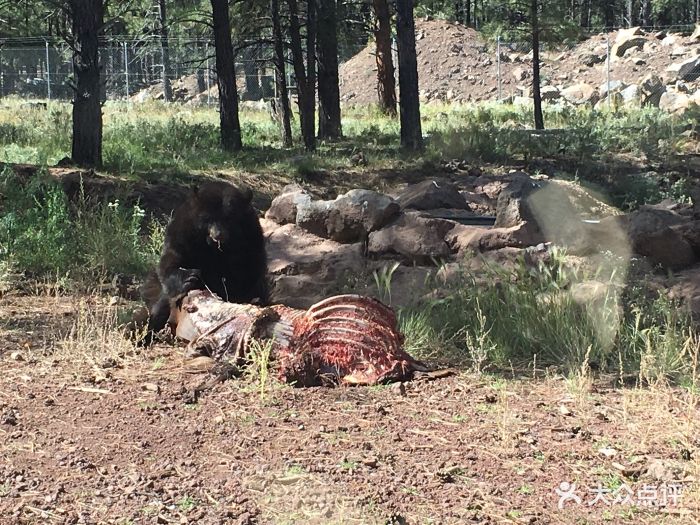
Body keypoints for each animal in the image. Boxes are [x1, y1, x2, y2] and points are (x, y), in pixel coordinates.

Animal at [139, 180, 268, 344]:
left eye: (229, 219)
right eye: (208, 218)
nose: (218, 234)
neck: (213, 248)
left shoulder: (251, 237)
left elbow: (247, 270)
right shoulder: (184, 232)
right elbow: (172, 259)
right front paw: (189, 278)